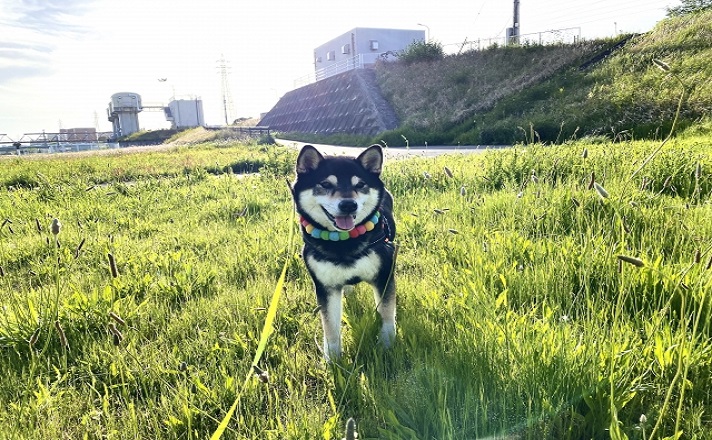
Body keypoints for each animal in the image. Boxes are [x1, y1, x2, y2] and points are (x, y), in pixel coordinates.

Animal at [292, 145, 398, 360]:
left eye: (360, 184)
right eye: (325, 184)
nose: (349, 204)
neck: (344, 242)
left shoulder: (385, 272)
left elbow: (386, 312)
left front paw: (386, 344)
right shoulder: (325, 286)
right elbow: (330, 327)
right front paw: (333, 360)